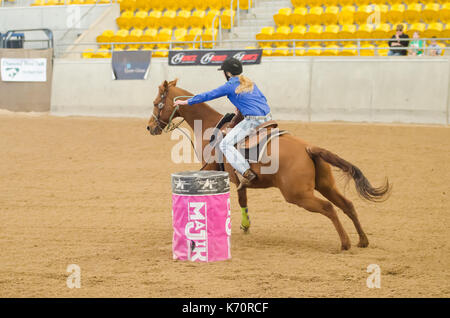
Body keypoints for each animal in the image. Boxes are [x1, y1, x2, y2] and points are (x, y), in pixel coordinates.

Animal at [148, 79, 390, 251]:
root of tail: (308, 148)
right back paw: (362, 240)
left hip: (297, 194)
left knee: (329, 208)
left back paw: (345, 243)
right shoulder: (238, 180)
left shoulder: (210, 169)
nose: (150, 127)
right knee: (347, 204)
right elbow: (242, 199)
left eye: (156, 103)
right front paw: (245, 226)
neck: (209, 126)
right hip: (325, 185)